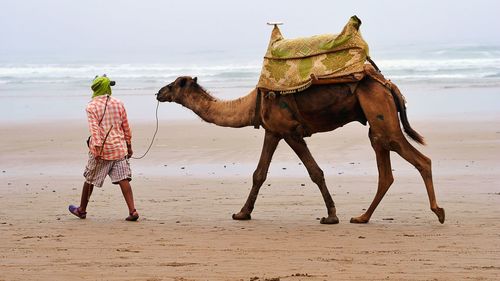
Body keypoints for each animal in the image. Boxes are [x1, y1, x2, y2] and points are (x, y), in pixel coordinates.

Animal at [155, 71, 446, 224]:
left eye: (174, 84)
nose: (159, 92)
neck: (251, 106)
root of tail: (388, 85)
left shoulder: (290, 132)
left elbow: (315, 172)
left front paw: (331, 216)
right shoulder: (273, 131)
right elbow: (259, 174)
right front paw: (242, 213)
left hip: (381, 114)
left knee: (419, 159)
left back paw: (438, 211)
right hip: (375, 121)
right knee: (385, 169)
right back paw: (362, 217)